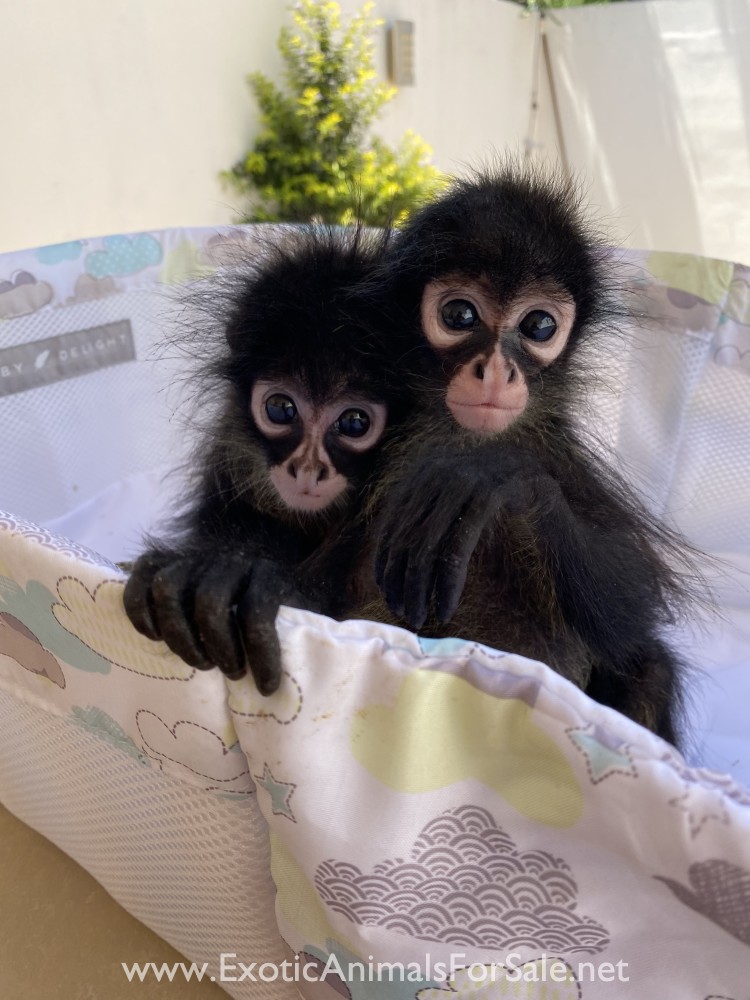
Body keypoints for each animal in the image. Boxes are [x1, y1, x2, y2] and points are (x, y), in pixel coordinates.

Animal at [353, 165, 701, 746]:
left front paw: (491, 475)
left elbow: (633, 615)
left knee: (650, 664)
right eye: (459, 314)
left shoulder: (557, 453)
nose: (495, 370)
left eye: (539, 326)